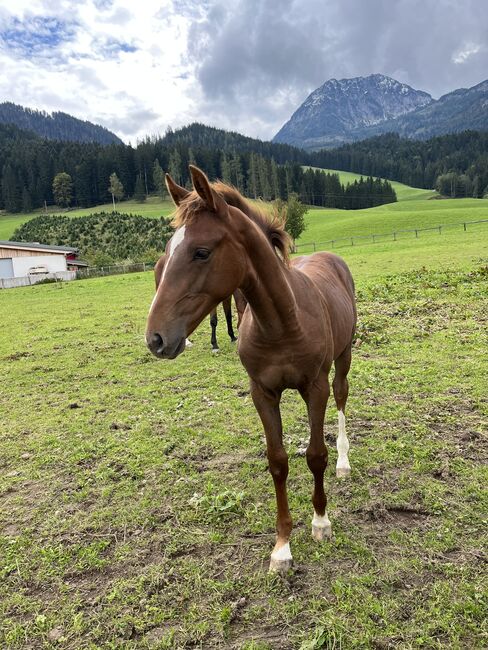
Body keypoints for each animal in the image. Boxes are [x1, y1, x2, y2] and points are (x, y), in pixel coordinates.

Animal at [147, 167, 356, 572]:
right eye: (165, 254)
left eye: (201, 252)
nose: (156, 338)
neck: (282, 321)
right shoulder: (262, 392)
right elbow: (277, 461)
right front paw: (282, 547)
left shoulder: (315, 387)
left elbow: (315, 455)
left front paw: (321, 522)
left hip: (344, 357)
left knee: (341, 399)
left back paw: (343, 461)